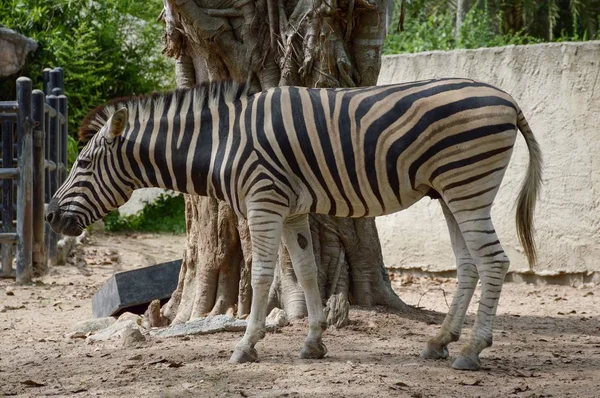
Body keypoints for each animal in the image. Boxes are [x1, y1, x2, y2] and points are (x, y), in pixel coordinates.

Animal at [48, 77, 544, 370]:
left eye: (84, 164)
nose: (51, 216)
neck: (223, 142)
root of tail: (507, 99)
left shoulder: (263, 203)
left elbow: (263, 277)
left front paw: (245, 346)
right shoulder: (294, 210)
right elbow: (305, 273)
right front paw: (313, 343)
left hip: (467, 186)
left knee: (494, 262)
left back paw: (472, 350)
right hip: (450, 194)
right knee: (469, 265)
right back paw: (440, 341)